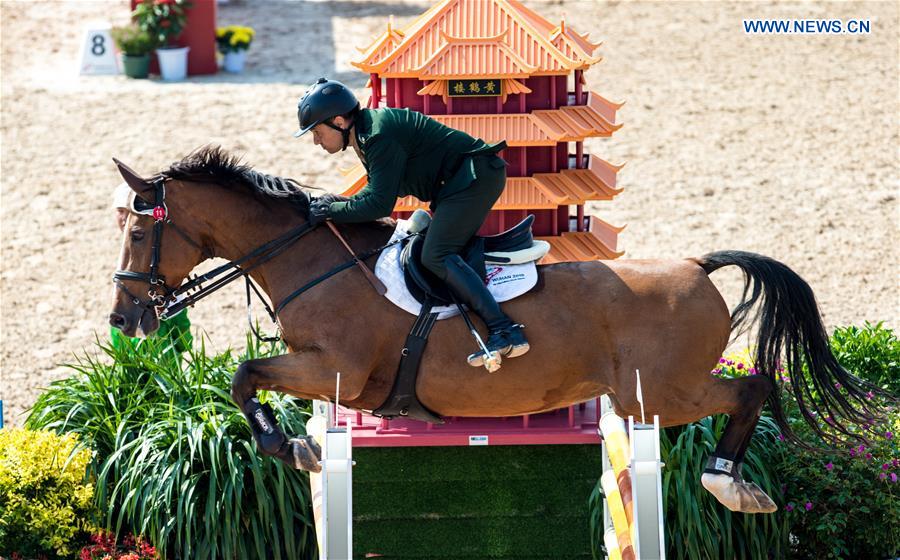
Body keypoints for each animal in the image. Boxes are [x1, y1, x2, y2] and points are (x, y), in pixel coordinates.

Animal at [109, 147, 888, 516]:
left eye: (140, 235)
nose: (124, 320)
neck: (309, 260)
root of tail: (698, 265)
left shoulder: (335, 368)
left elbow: (245, 377)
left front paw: (288, 445)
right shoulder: (327, 376)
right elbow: (248, 381)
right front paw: (294, 443)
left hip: (659, 397)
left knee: (751, 388)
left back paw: (727, 482)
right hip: (656, 396)